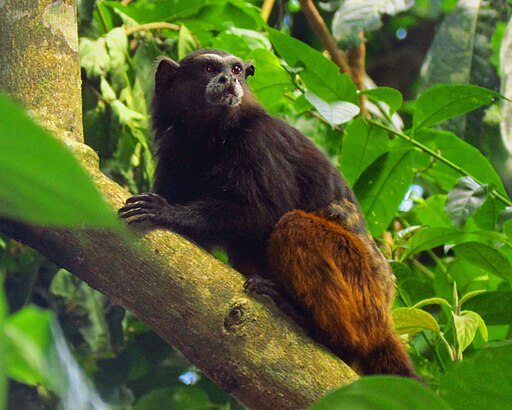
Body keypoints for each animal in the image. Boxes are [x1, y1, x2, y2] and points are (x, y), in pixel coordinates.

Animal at [121, 50, 420, 378]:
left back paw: (320, 328)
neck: (213, 136)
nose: (228, 80)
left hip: (363, 288)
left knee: (294, 225)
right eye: (210, 68)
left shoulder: (260, 142)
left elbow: (266, 213)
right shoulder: (173, 150)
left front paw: (168, 213)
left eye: (236, 70)